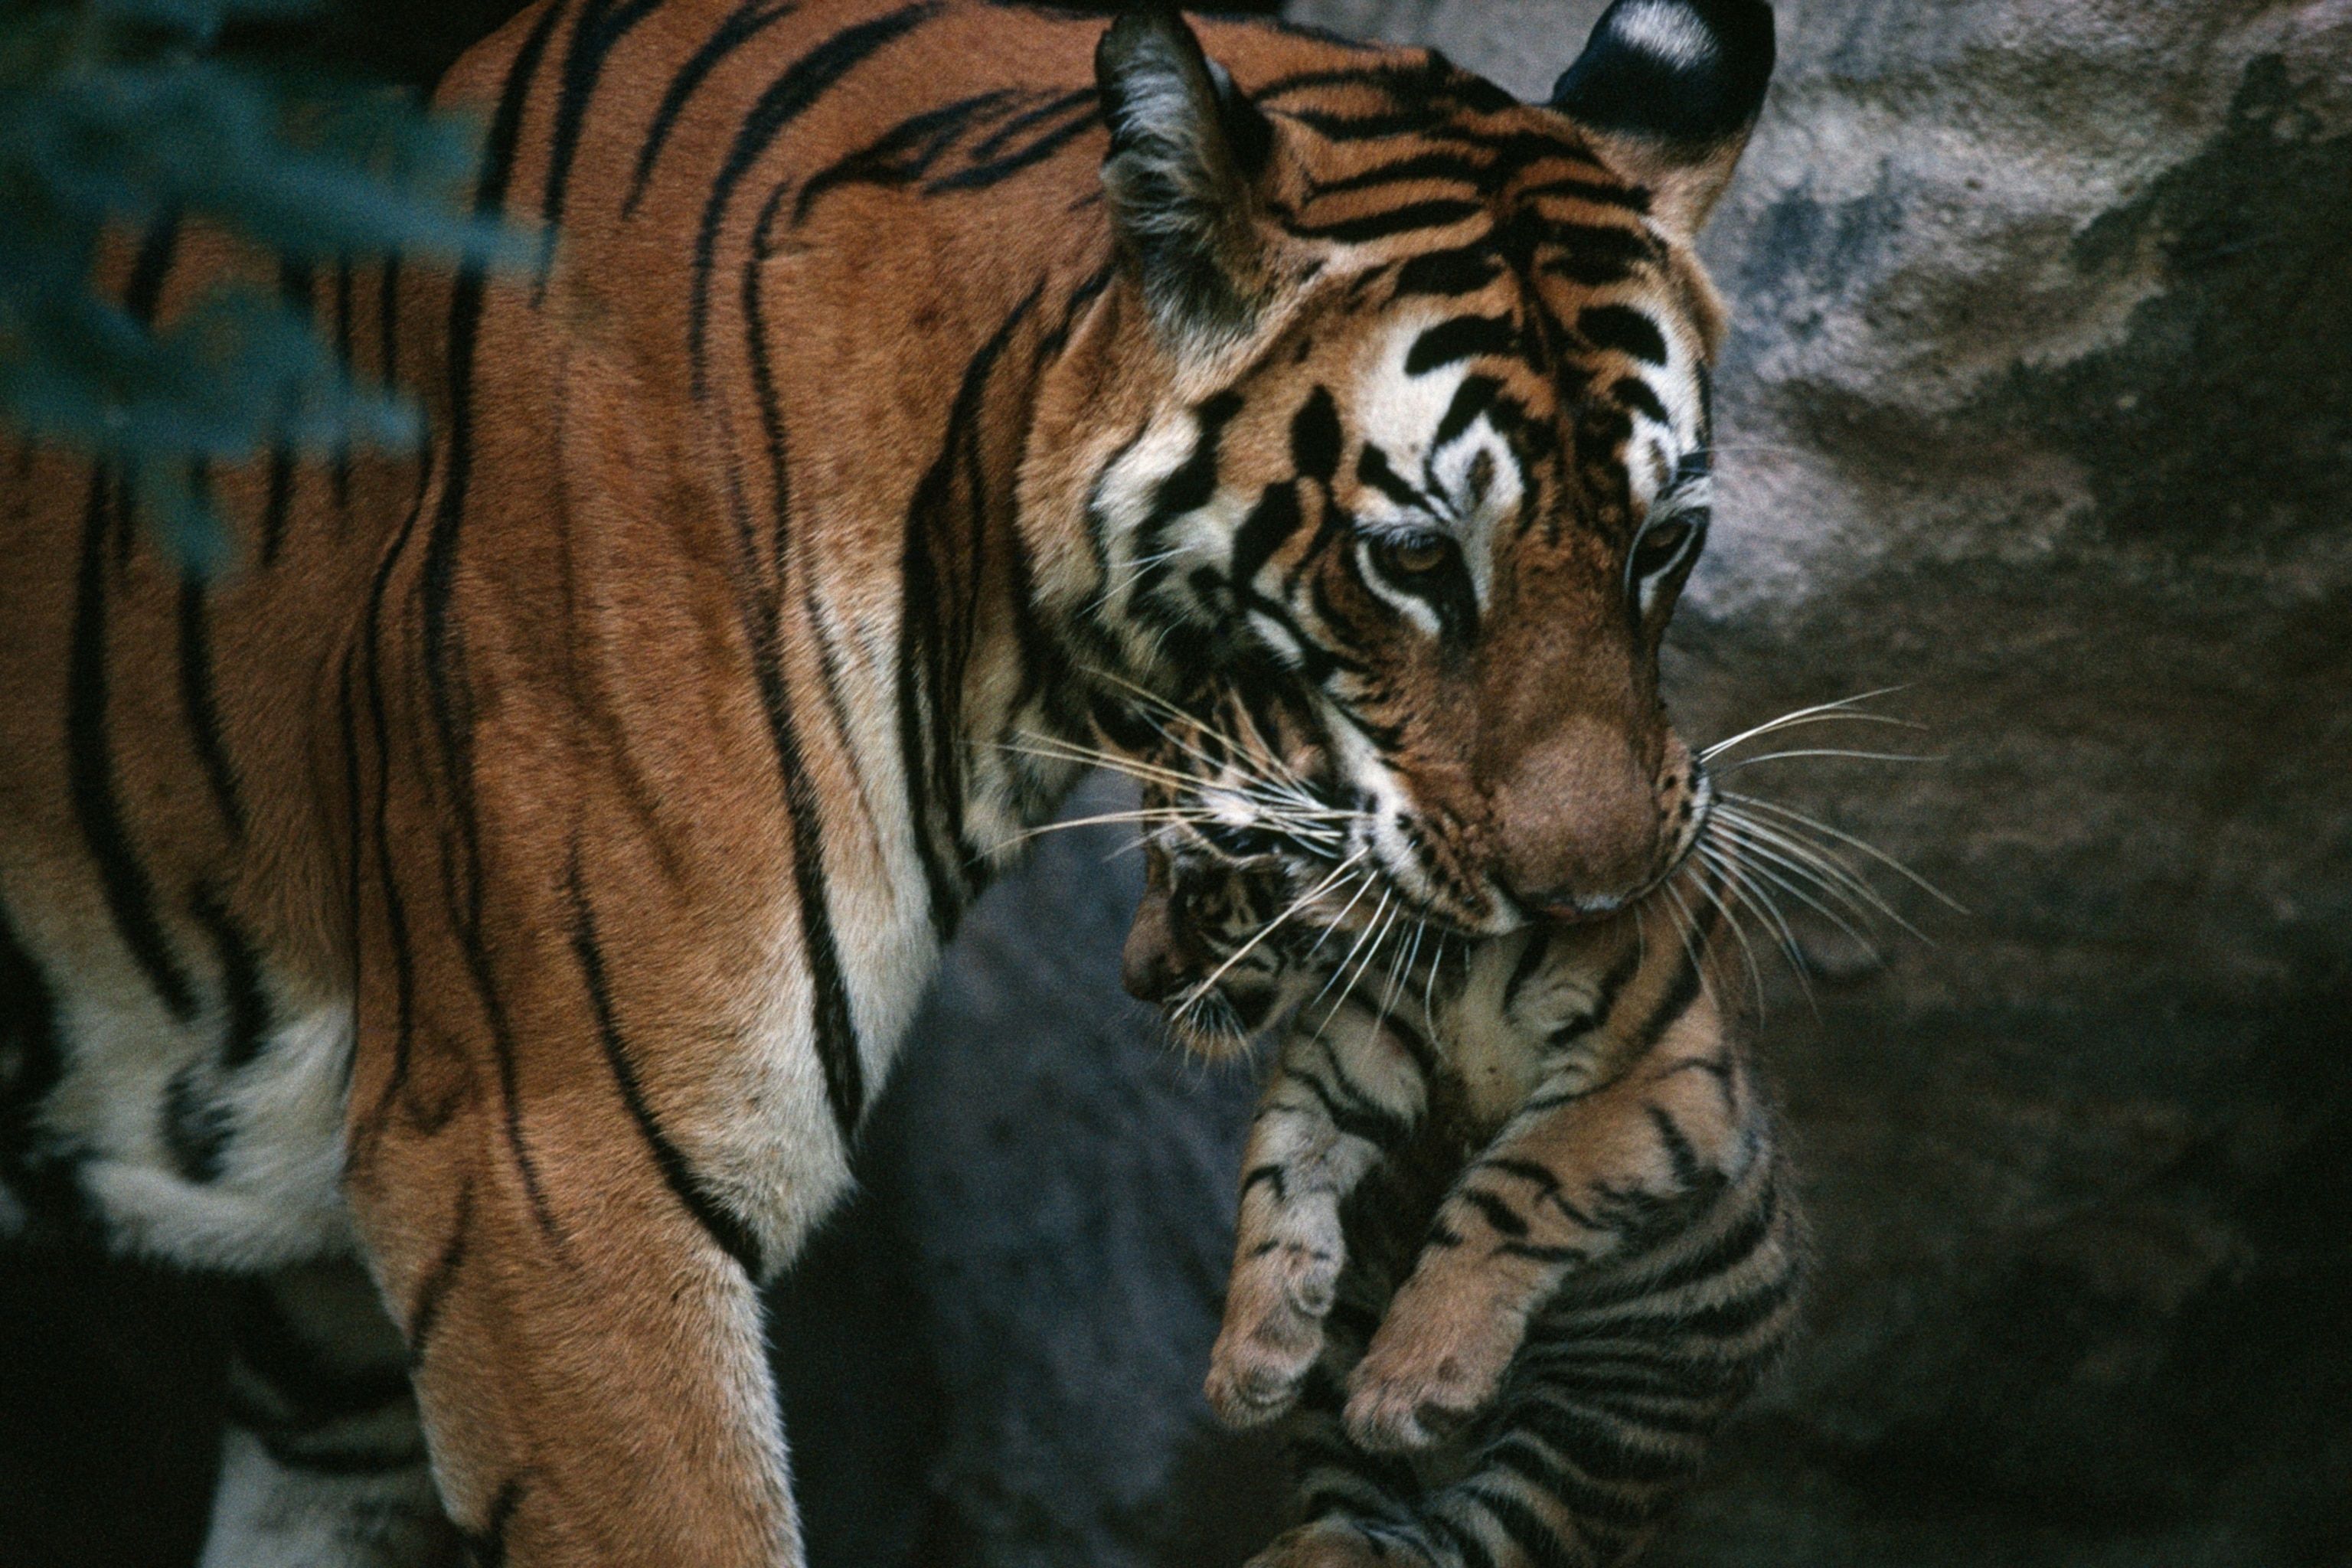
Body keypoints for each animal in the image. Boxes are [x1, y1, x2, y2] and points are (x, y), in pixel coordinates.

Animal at [1117, 682, 1802, 1568]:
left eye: (1198, 886)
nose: (1134, 981)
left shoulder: (1649, 1069)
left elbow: (1511, 1187)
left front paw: (1410, 1379)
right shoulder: (1354, 1044)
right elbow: (1279, 1164)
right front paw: (1252, 1355)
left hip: (1608, 1420)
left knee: (1483, 1535)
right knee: (1361, 1497)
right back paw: (1310, 1539)